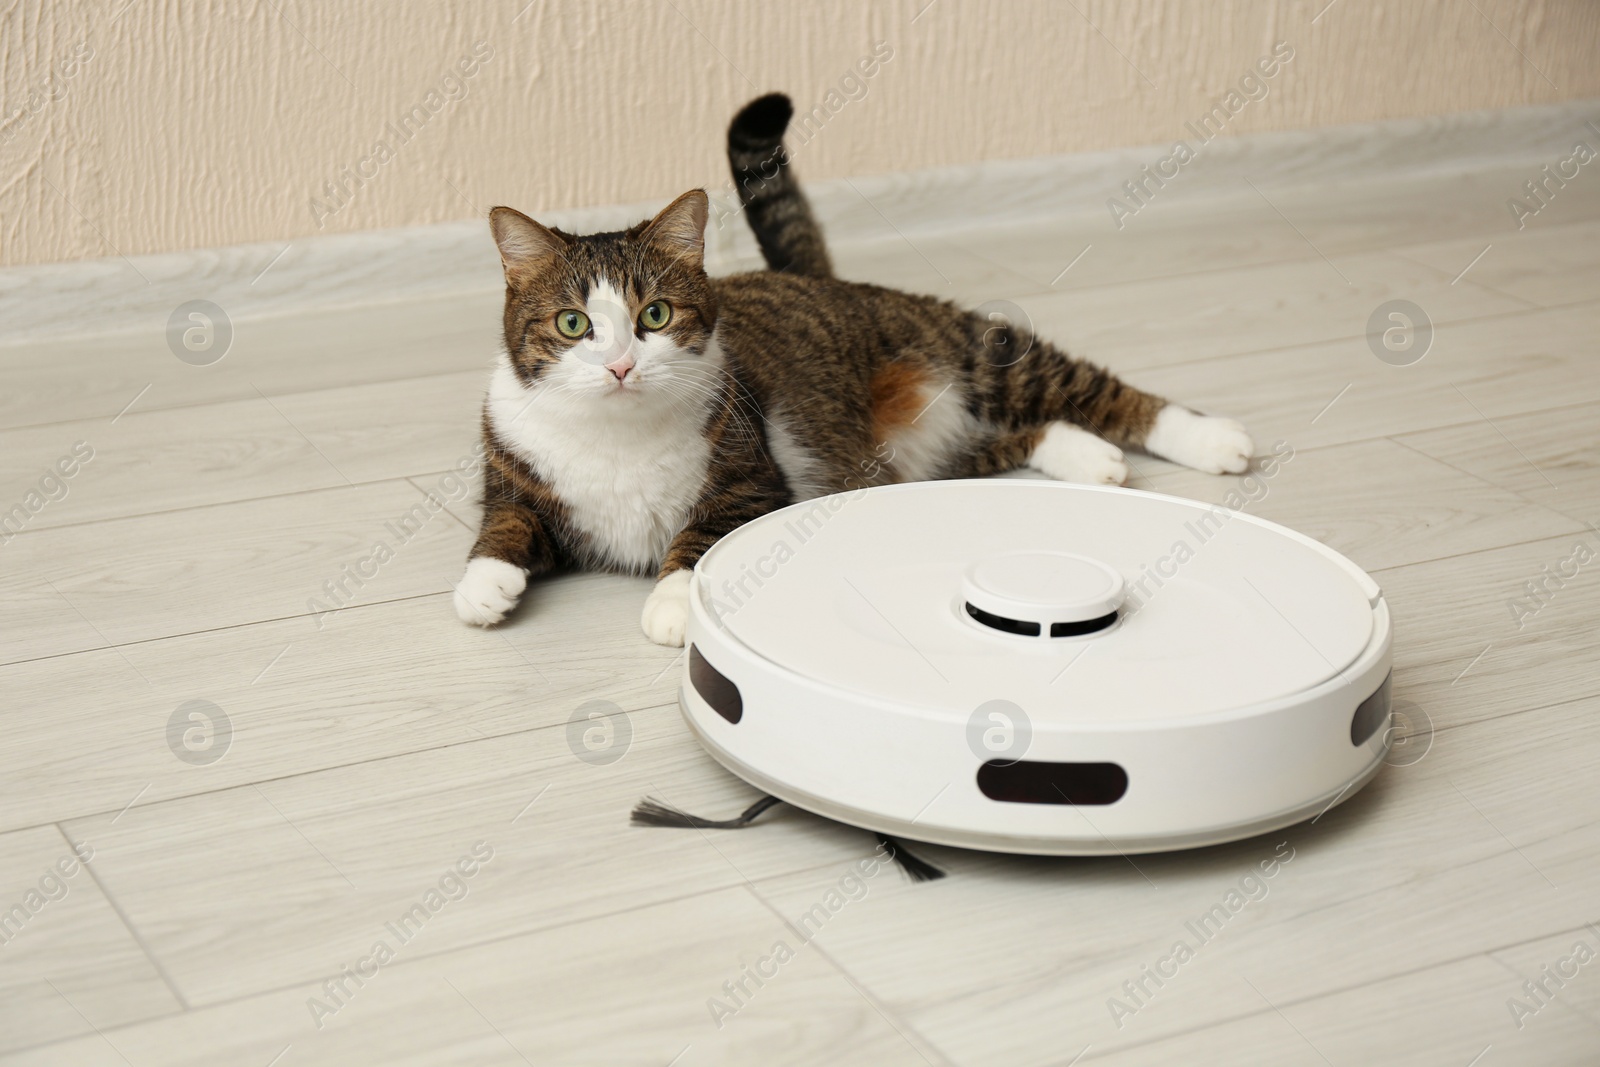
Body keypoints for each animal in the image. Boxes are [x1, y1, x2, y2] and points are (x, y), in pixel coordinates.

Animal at [457, 93, 1254, 643]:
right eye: (573, 324)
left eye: (654, 315)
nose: (621, 365)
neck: (616, 434)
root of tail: (818, 280)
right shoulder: (514, 472)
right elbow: (506, 522)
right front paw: (483, 584)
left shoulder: (757, 484)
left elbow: (700, 539)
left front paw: (674, 604)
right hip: (916, 460)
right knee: (1004, 442)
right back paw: (1092, 459)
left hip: (971, 350)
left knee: (1088, 388)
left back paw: (1210, 439)